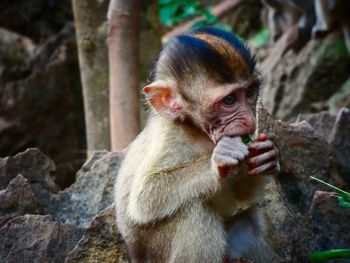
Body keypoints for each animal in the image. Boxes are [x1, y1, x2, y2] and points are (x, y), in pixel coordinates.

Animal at [115, 26, 278, 262]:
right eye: (229, 100)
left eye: (249, 92)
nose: (250, 120)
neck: (200, 133)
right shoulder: (170, 135)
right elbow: (145, 197)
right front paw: (219, 160)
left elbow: (242, 193)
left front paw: (268, 156)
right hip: (156, 253)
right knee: (194, 211)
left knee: (254, 222)